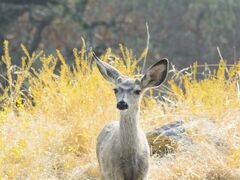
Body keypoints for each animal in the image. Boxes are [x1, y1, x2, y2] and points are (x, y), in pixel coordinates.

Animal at [93, 52, 168, 180]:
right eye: (115, 90)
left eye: (137, 91)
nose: (122, 103)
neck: (130, 158)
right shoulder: (115, 172)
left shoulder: (144, 172)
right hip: (102, 169)